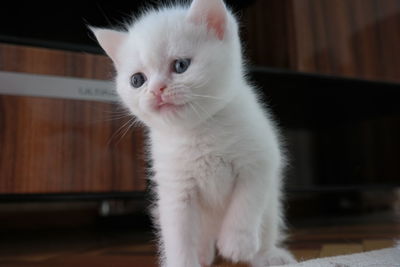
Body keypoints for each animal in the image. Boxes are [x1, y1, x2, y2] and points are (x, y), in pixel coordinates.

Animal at [92, 1, 296, 266]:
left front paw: (237, 243)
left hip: (271, 208)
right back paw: (202, 253)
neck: (198, 131)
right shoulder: (176, 189)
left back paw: (268, 255)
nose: (156, 90)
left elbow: (246, 203)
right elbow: (179, 234)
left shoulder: (261, 160)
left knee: (266, 228)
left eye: (180, 66)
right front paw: (184, 260)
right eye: (137, 80)